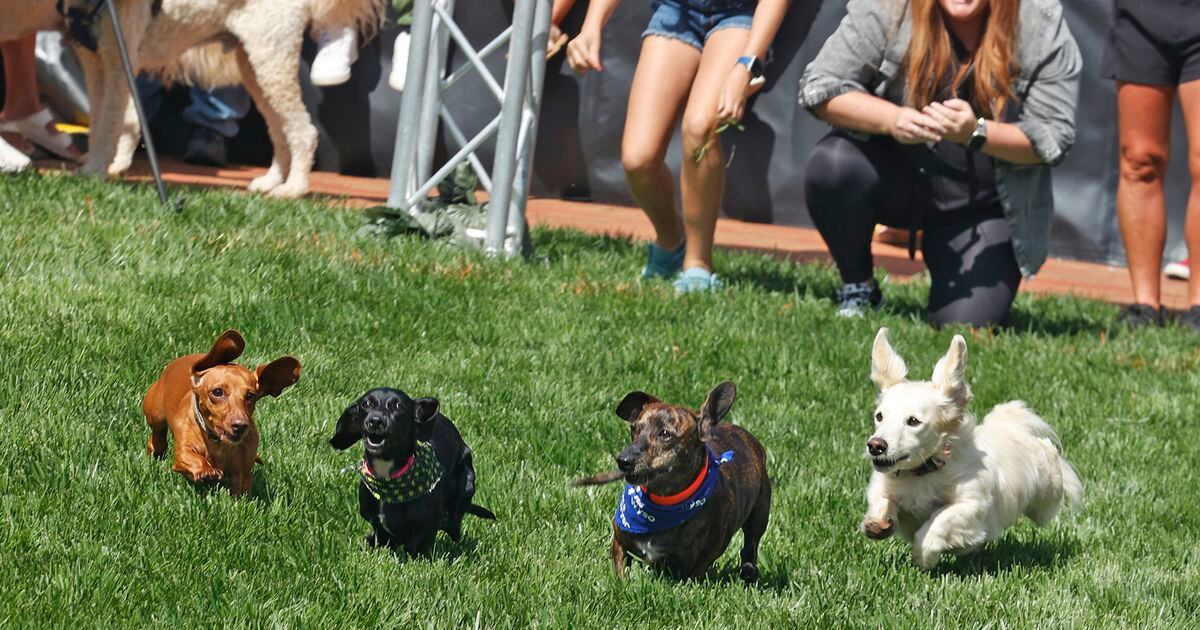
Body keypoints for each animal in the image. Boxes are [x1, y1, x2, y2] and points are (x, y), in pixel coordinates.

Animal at [64, 0, 379, 196]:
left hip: (272, 58)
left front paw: (95, 170)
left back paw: (293, 189)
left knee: (303, 131)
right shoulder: (95, 62)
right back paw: (271, 181)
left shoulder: (119, 61)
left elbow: (110, 122)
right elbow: (101, 119)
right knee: (279, 130)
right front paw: (98, 163)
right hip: (254, 65)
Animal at [328, 386, 492, 552]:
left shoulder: (426, 529)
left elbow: (416, 544)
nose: (375, 421)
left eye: (399, 406)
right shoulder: (377, 524)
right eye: (366, 403)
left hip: (463, 492)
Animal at [573, 381, 777, 583]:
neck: (663, 500)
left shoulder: (698, 565)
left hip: (759, 516)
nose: (623, 460)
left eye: (665, 434)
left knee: (750, 547)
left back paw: (749, 571)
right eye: (634, 428)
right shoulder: (620, 544)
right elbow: (620, 571)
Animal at [859, 326, 1084, 566]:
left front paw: (924, 555)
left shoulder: (972, 504)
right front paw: (877, 524)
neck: (924, 472)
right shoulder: (884, 485)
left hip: (1045, 500)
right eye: (879, 416)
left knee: (1050, 458)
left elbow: (939, 521)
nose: (875, 445)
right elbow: (881, 500)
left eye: (913, 421)